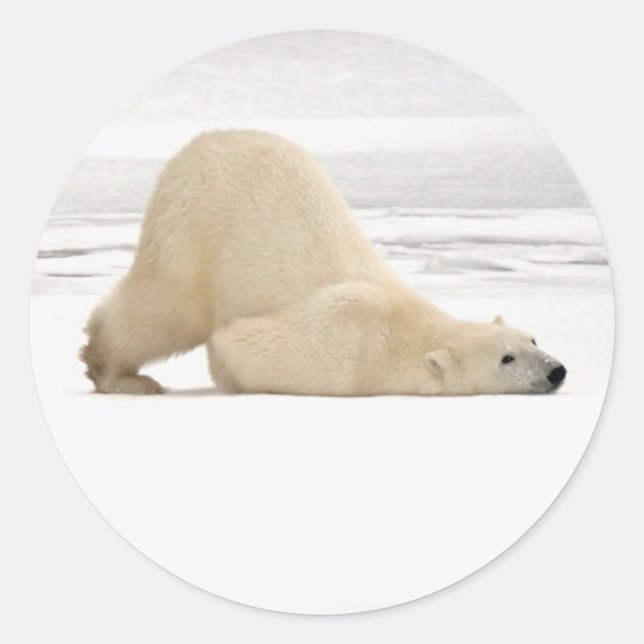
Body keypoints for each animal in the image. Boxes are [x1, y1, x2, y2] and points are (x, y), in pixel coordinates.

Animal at [81, 129, 567, 396]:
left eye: (533, 338)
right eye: (506, 358)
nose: (556, 371)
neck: (404, 327)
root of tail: (202, 142)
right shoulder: (345, 347)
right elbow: (235, 343)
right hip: (194, 228)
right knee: (165, 308)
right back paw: (119, 374)